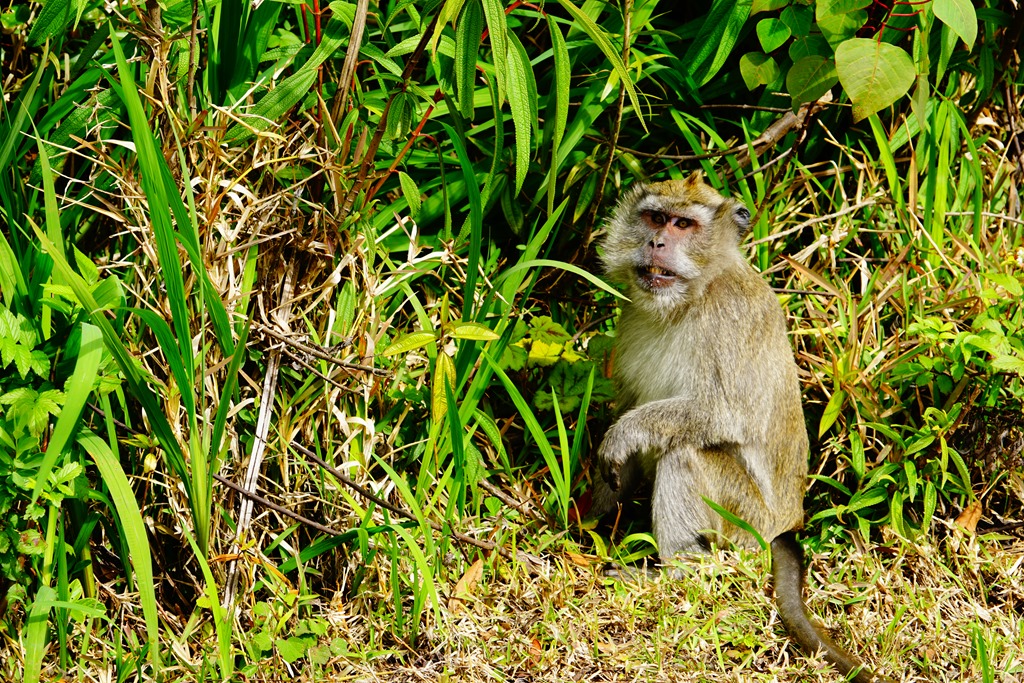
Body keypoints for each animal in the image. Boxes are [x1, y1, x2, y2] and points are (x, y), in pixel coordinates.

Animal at [593, 173, 892, 683]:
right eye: (655, 217)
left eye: (683, 225)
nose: (656, 243)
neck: (690, 298)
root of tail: (787, 523)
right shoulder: (632, 318)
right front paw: (589, 514)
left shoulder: (729, 317)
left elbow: (723, 414)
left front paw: (623, 436)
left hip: (745, 521)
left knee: (684, 454)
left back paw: (677, 571)